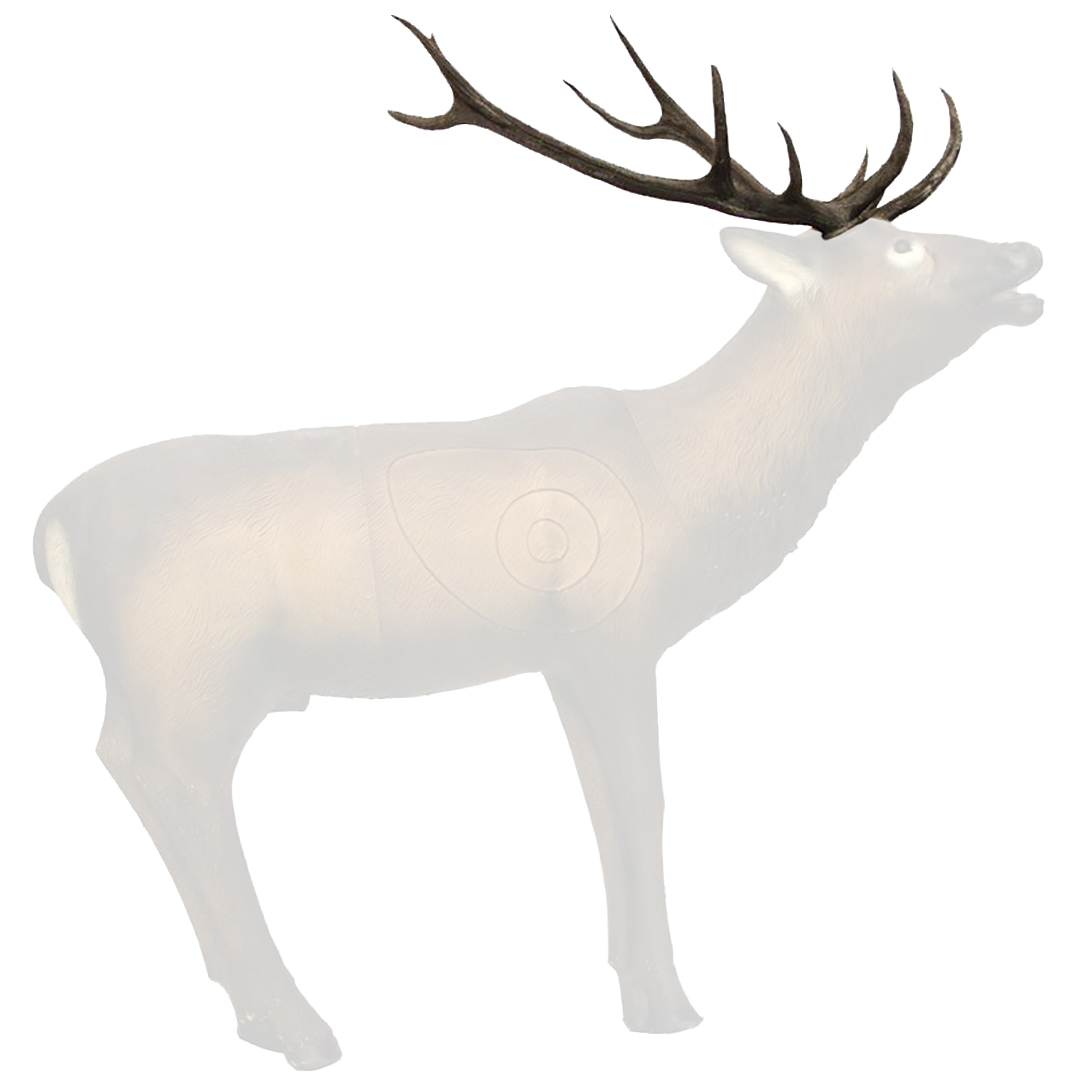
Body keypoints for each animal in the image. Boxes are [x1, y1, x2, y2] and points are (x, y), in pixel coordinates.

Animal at [33, 16, 1043, 1072]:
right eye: (904, 249)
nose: (1023, 251)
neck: (686, 471)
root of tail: (50, 527)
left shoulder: (557, 654)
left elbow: (596, 803)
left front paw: (629, 979)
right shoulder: (612, 630)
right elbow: (642, 798)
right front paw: (667, 1003)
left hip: (175, 677)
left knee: (130, 765)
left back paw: (255, 1010)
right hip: (194, 661)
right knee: (176, 782)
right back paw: (299, 1021)